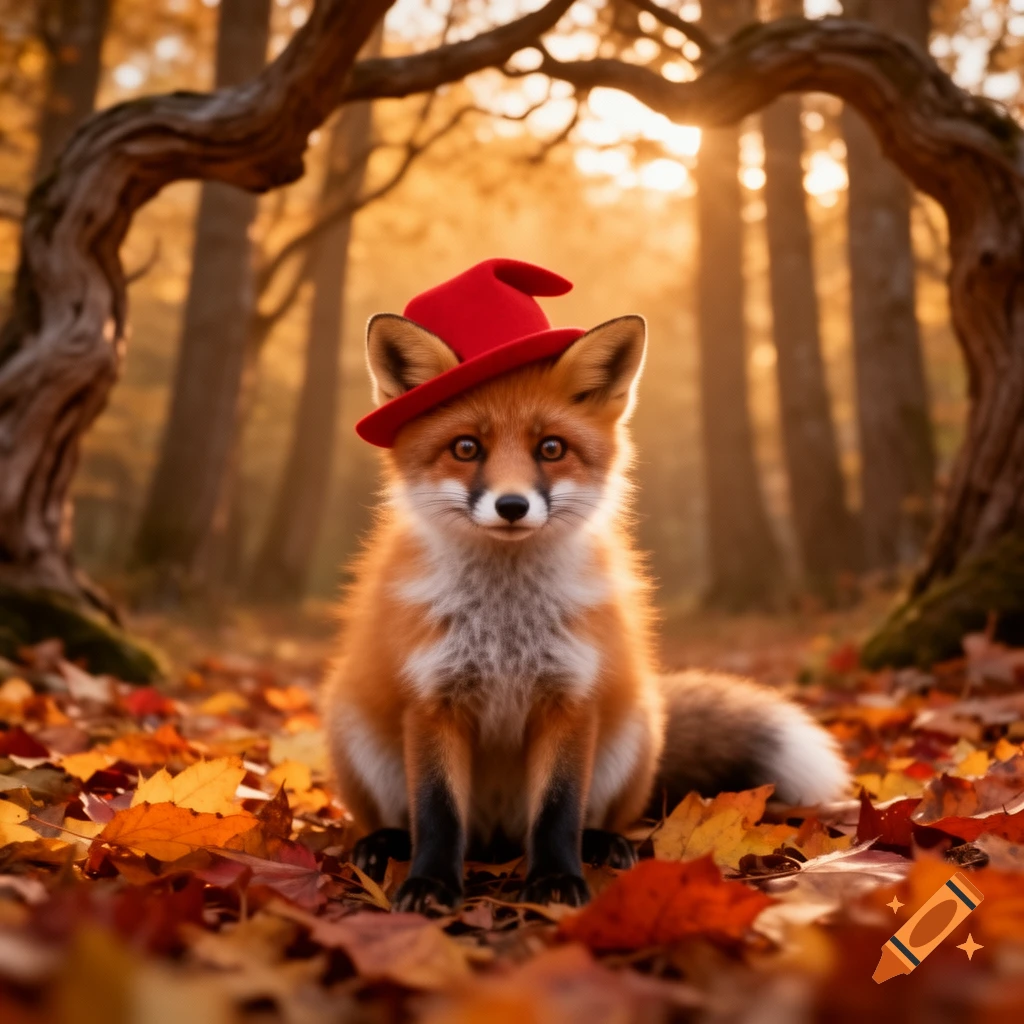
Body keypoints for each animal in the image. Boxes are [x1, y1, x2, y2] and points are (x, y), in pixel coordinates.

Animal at [323, 310, 850, 914]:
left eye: (551, 449)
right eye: (466, 448)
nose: (511, 505)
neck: (506, 627)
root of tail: (496, 839)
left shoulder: (570, 698)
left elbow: (558, 810)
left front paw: (555, 881)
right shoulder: (434, 700)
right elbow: (437, 813)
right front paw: (430, 884)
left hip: (632, 733)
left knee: (589, 818)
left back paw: (602, 844)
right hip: (356, 730)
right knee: (409, 821)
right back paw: (384, 844)